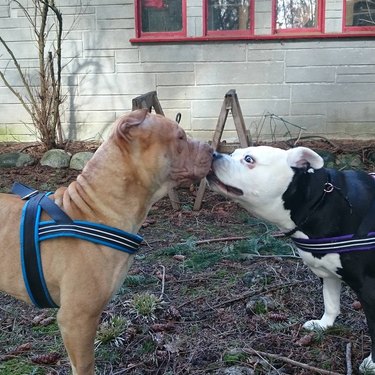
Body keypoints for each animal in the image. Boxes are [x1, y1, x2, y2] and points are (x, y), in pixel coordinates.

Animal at [209, 146, 375, 374]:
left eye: (249, 159)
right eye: (234, 153)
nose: (213, 154)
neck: (320, 203)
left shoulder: (369, 287)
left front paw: (373, 363)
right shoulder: (327, 272)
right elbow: (331, 302)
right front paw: (324, 324)